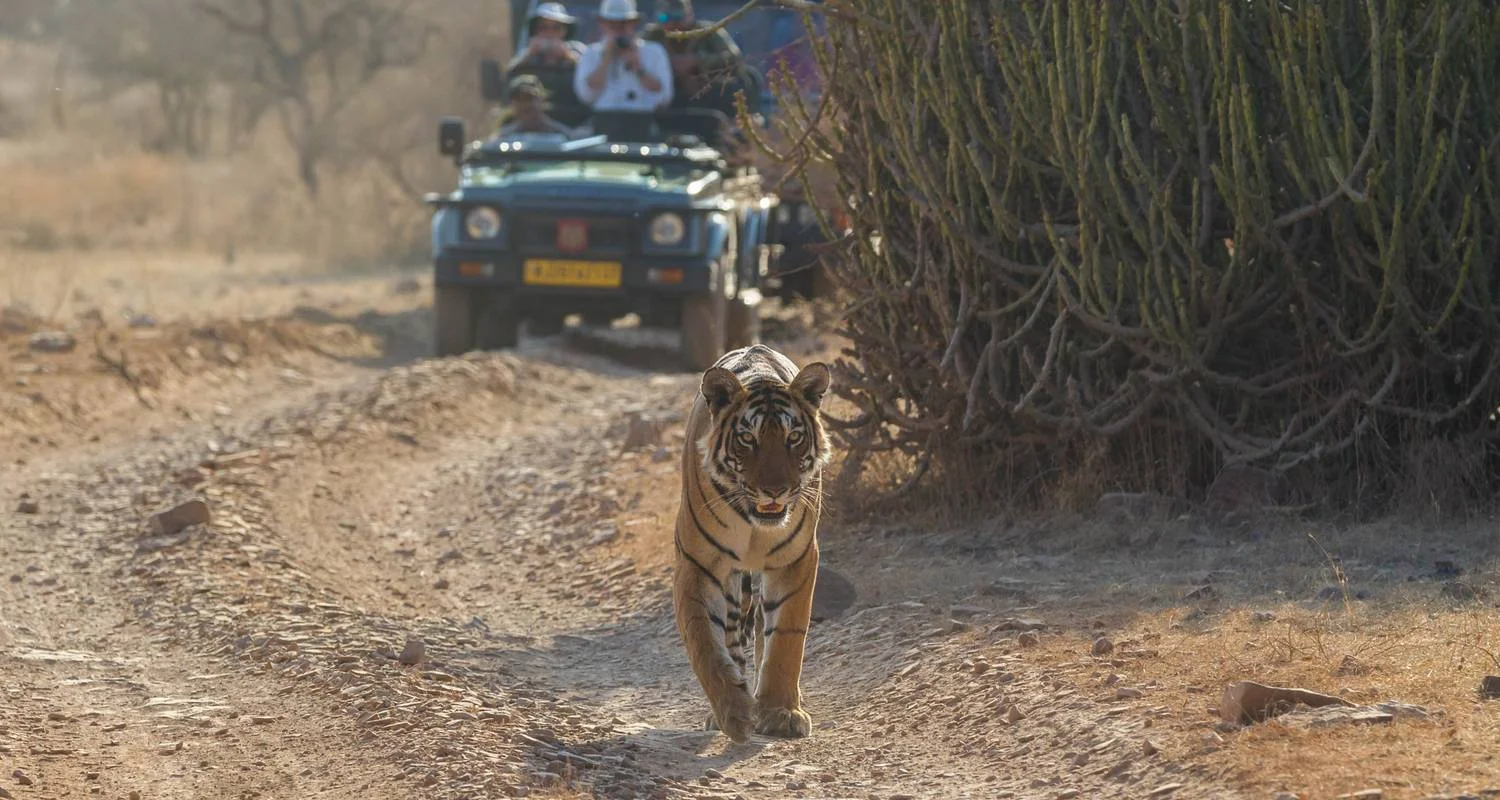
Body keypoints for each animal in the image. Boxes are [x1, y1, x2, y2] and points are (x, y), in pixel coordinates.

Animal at [672, 344, 833, 743]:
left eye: (793, 438)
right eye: (748, 439)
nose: (775, 490)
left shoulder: (796, 560)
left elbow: (786, 640)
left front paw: (780, 712)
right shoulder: (698, 564)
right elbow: (704, 642)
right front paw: (734, 711)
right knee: (731, 635)